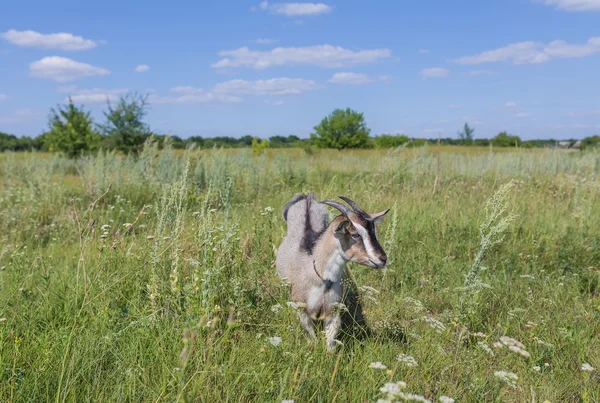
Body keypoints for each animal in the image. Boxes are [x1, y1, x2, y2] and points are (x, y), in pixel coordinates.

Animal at [276, 194, 390, 352]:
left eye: (374, 232)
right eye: (355, 234)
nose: (382, 259)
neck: (321, 278)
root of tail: (307, 198)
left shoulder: (333, 311)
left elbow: (330, 343)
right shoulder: (303, 309)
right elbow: (311, 338)